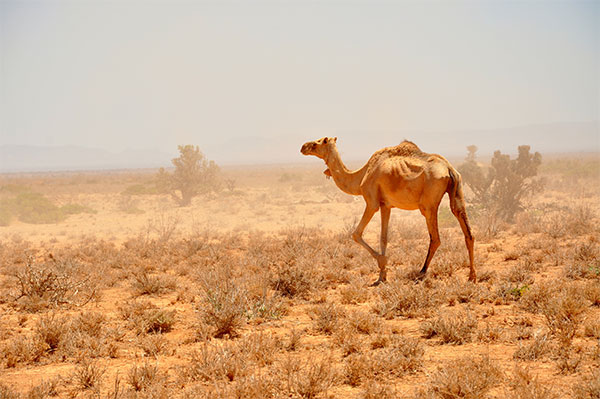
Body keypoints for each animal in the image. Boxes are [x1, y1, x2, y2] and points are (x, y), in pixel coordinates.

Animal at [302, 138, 476, 284]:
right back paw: (472, 276)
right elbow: (383, 238)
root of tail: (449, 169)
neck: (361, 176)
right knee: (467, 231)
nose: (303, 147)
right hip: (457, 191)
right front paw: (382, 275)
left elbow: (356, 234)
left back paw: (422, 272)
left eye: (318, 142)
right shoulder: (386, 205)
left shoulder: (372, 202)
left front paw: (382, 264)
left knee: (436, 238)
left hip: (428, 204)